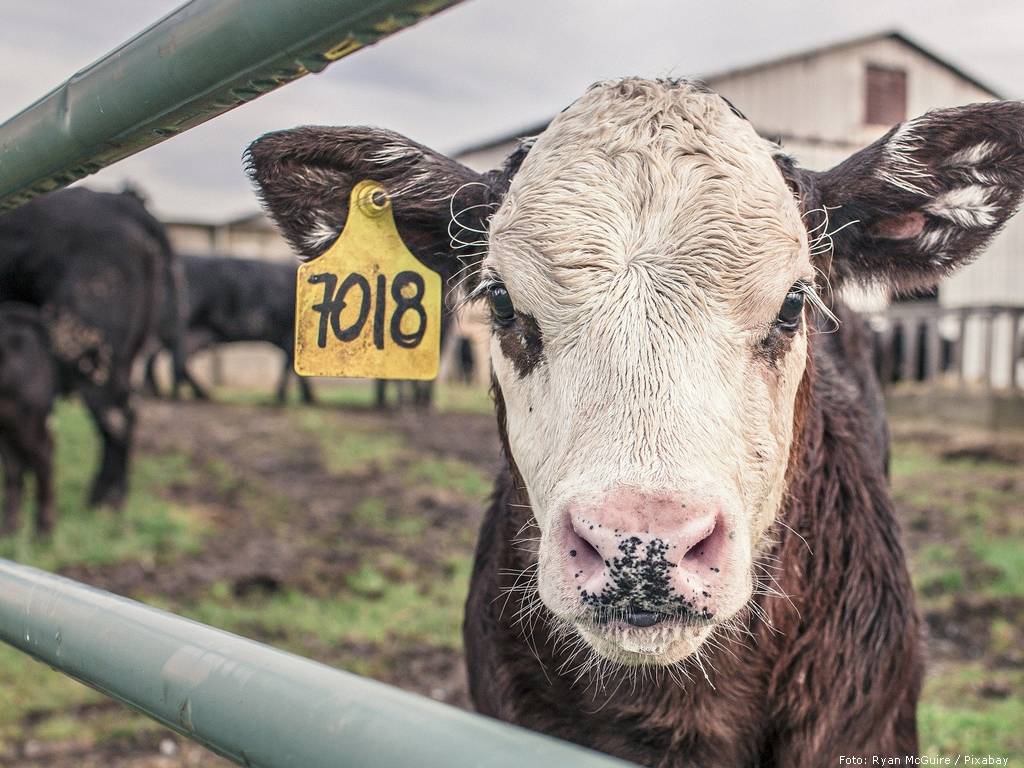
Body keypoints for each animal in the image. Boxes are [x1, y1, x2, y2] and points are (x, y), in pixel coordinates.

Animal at [0, 187, 184, 508]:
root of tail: (120, 201)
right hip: (124, 354)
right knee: (125, 413)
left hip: (87, 347)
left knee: (116, 418)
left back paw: (105, 500)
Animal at [143, 253, 314, 404]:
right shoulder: (290, 335)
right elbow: (291, 366)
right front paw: (302, 399)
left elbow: (289, 365)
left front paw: (294, 398)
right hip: (178, 325)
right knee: (169, 358)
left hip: (191, 332)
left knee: (167, 356)